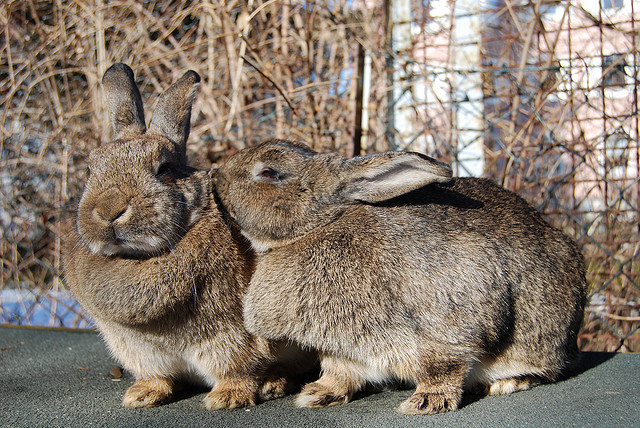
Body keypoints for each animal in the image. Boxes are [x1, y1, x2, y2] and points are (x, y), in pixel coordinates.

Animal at [62, 65, 312, 410]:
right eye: (90, 168)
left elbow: (241, 368)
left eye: (164, 168)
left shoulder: (233, 337)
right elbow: (157, 376)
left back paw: (274, 383)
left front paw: (226, 398)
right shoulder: (139, 349)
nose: (109, 211)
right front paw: (141, 395)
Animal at [212, 139, 588, 412]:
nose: (215, 175)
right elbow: (339, 373)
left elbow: (444, 367)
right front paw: (316, 395)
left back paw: (507, 383)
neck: (317, 228)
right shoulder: (342, 349)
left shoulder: (446, 326)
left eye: (270, 173)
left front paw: (426, 402)